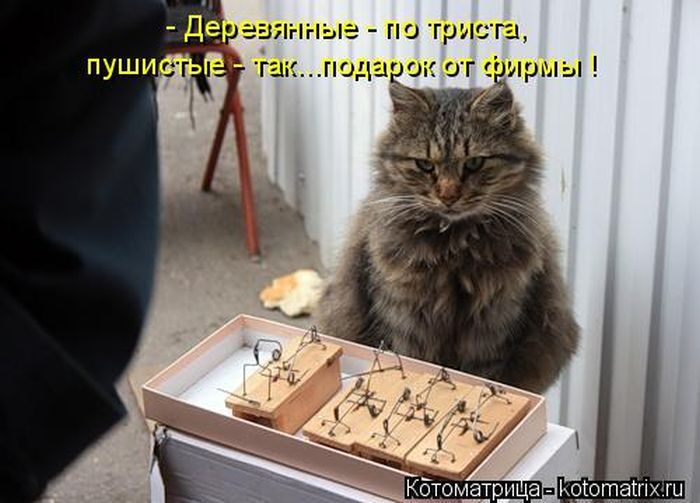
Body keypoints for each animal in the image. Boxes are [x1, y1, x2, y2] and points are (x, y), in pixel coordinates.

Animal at [316, 80, 579, 393]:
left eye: (475, 163)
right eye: (425, 165)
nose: (448, 196)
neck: (453, 252)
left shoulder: (493, 331)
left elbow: (483, 380)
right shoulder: (401, 321)